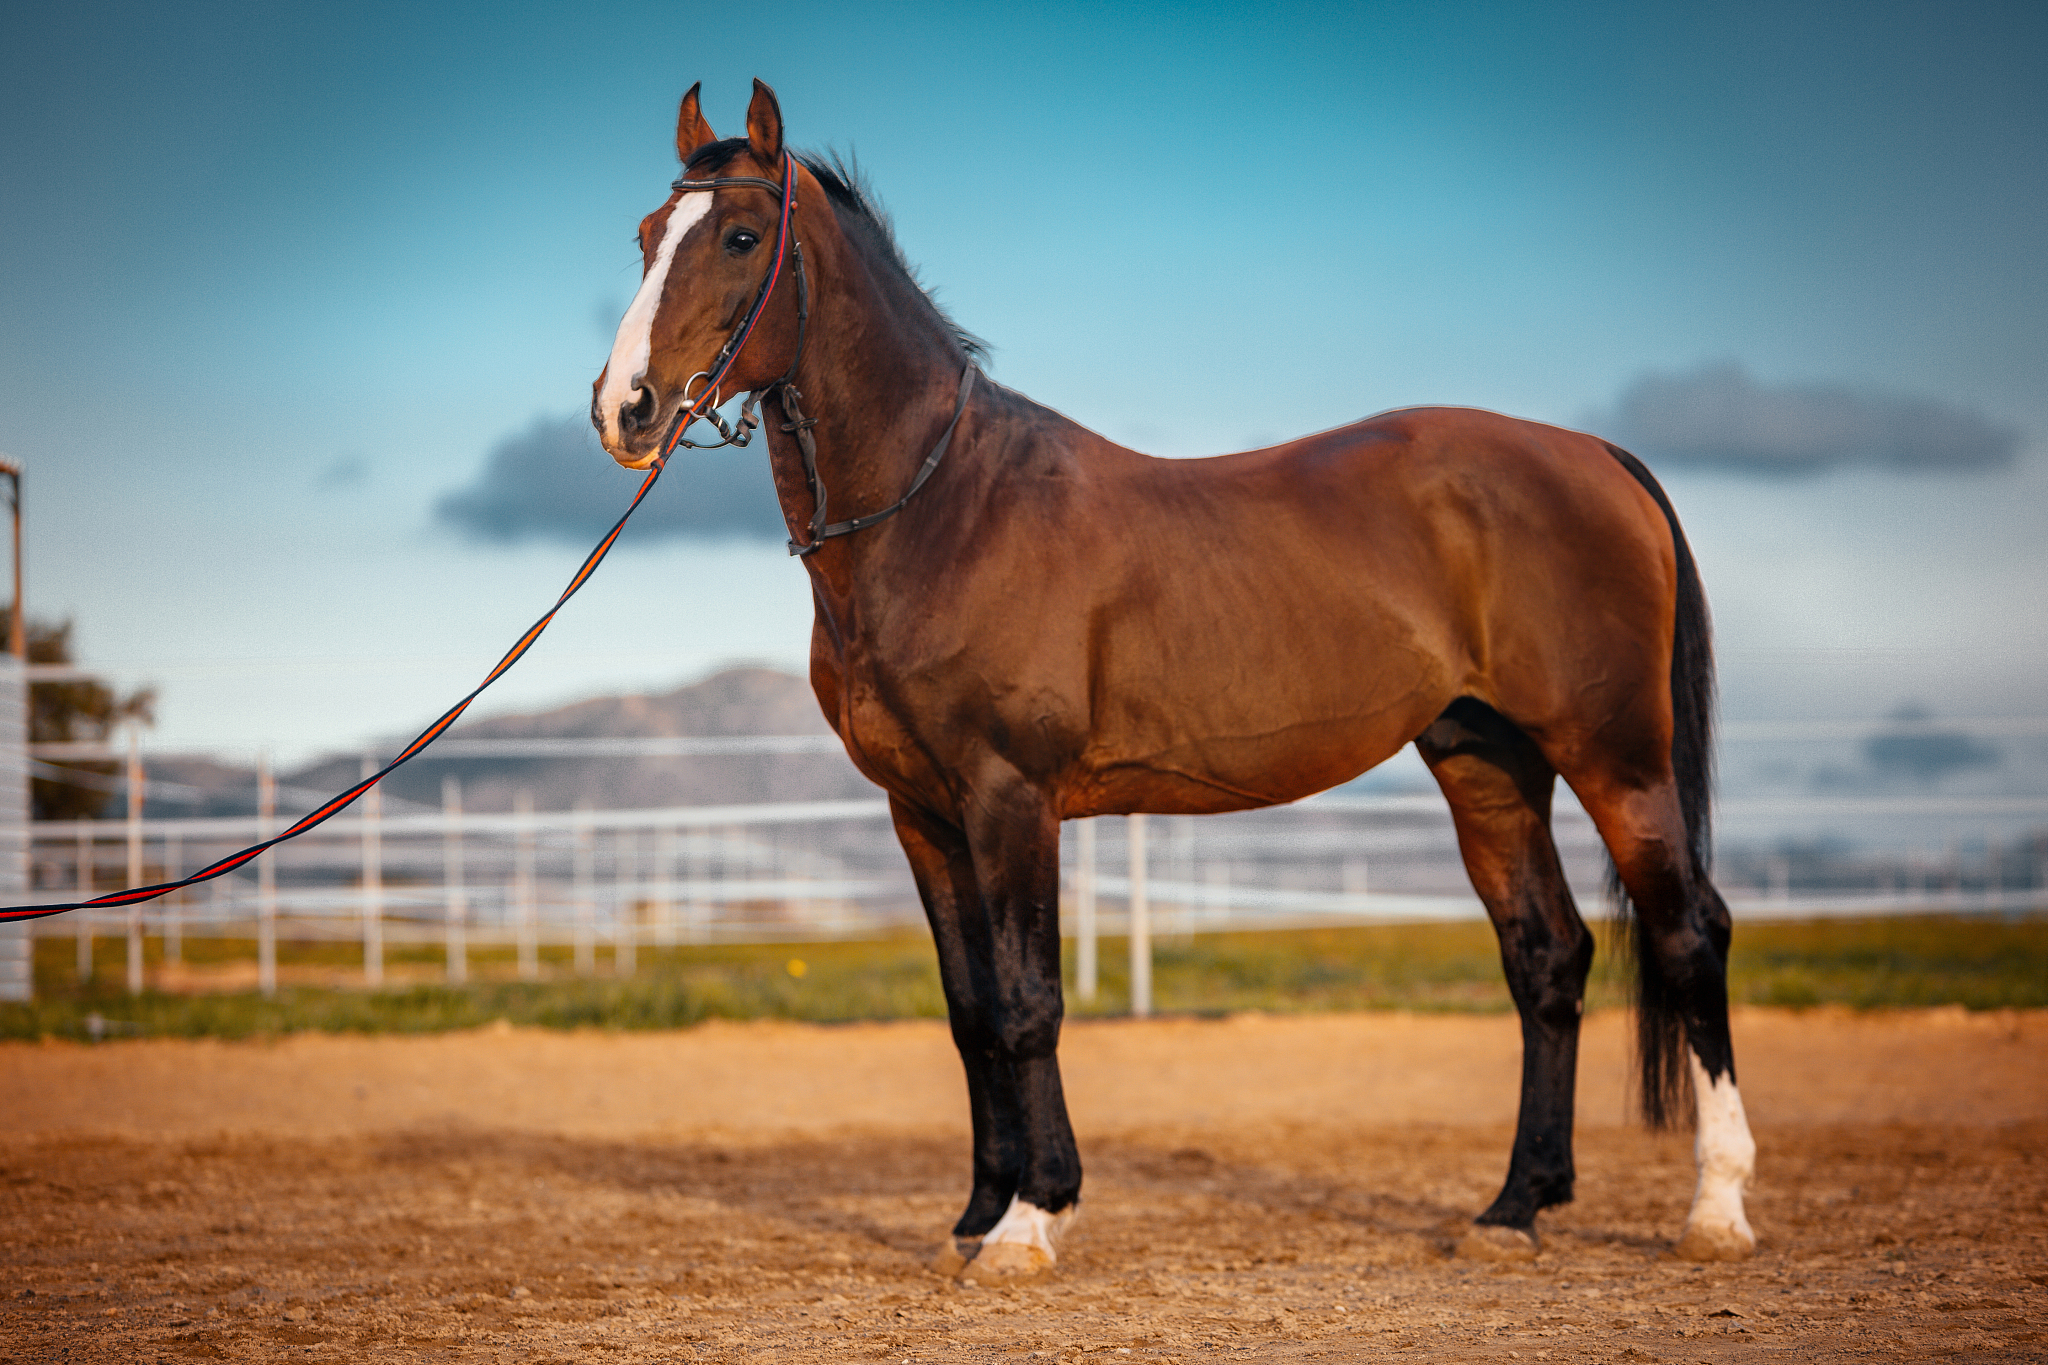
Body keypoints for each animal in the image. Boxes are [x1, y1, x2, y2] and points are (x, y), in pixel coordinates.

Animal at [590, 79, 1757, 1279]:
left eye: (739, 237)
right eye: (645, 235)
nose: (625, 409)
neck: (943, 508)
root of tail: (1597, 455)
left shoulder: (1010, 798)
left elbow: (1026, 1003)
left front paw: (1030, 1219)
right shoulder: (922, 812)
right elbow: (969, 1013)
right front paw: (975, 1213)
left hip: (1617, 760)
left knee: (1689, 934)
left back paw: (1714, 1210)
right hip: (1486, 761)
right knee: (1547, 957)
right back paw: (1515, 1205)